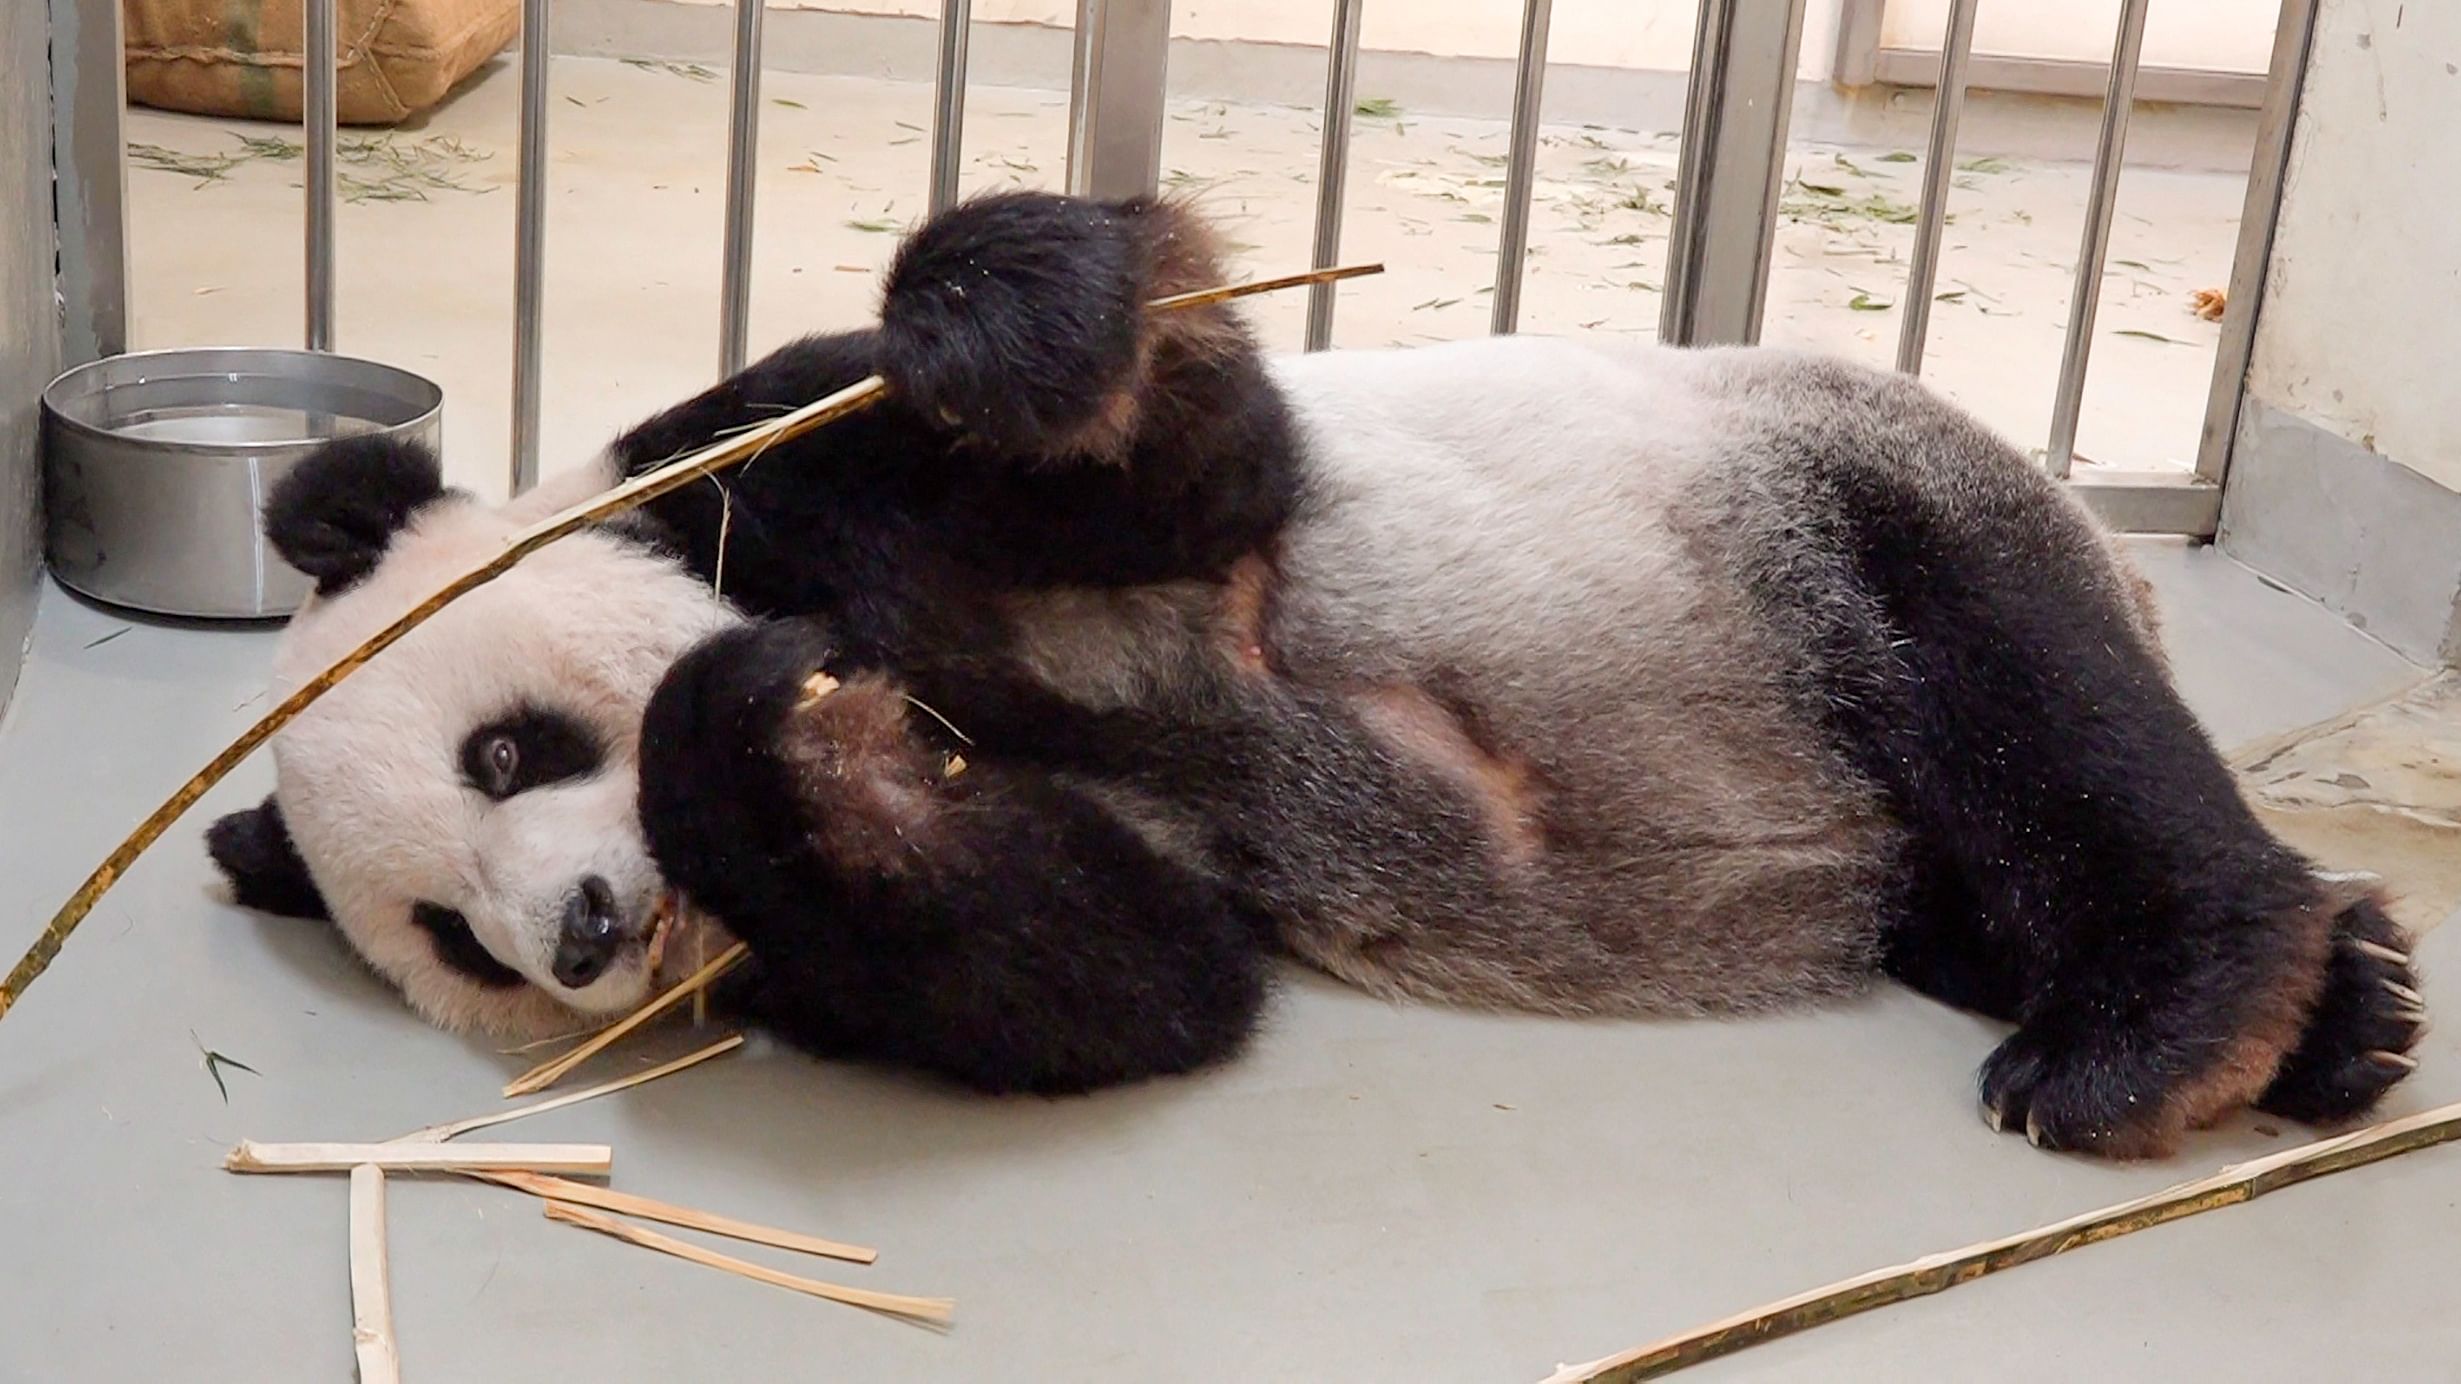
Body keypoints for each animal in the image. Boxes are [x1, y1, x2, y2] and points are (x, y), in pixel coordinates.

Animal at [206, 185, 2421, 1152]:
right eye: (458, 942)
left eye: (505, 749)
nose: (583, 930)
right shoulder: (922, 918)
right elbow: (1114, 966)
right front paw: (791, 759)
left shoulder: (783, 469)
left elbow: (1187, 461)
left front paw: (1001, 319)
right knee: (1975, 854)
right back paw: (2345, 1007)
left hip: (1819, 501)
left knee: (2031, 702)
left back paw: (2174, 1016)